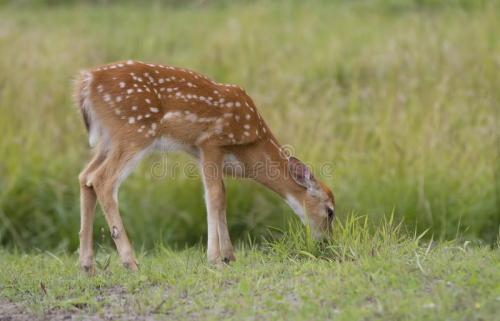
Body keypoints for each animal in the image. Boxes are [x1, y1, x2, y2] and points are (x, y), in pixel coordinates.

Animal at [73, 60, 336, 272]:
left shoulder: (200, 153)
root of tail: (86, 81)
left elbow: (222, 197)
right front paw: (216, 259)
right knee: (102, 180)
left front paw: (230, 256)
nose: (328, 244)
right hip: (135, 131)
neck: (251, 144)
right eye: (330, 211)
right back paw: (130, 262)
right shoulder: (211, 142)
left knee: (85, 176)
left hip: (108, 139)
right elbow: (215, 196)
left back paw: (87, 265)